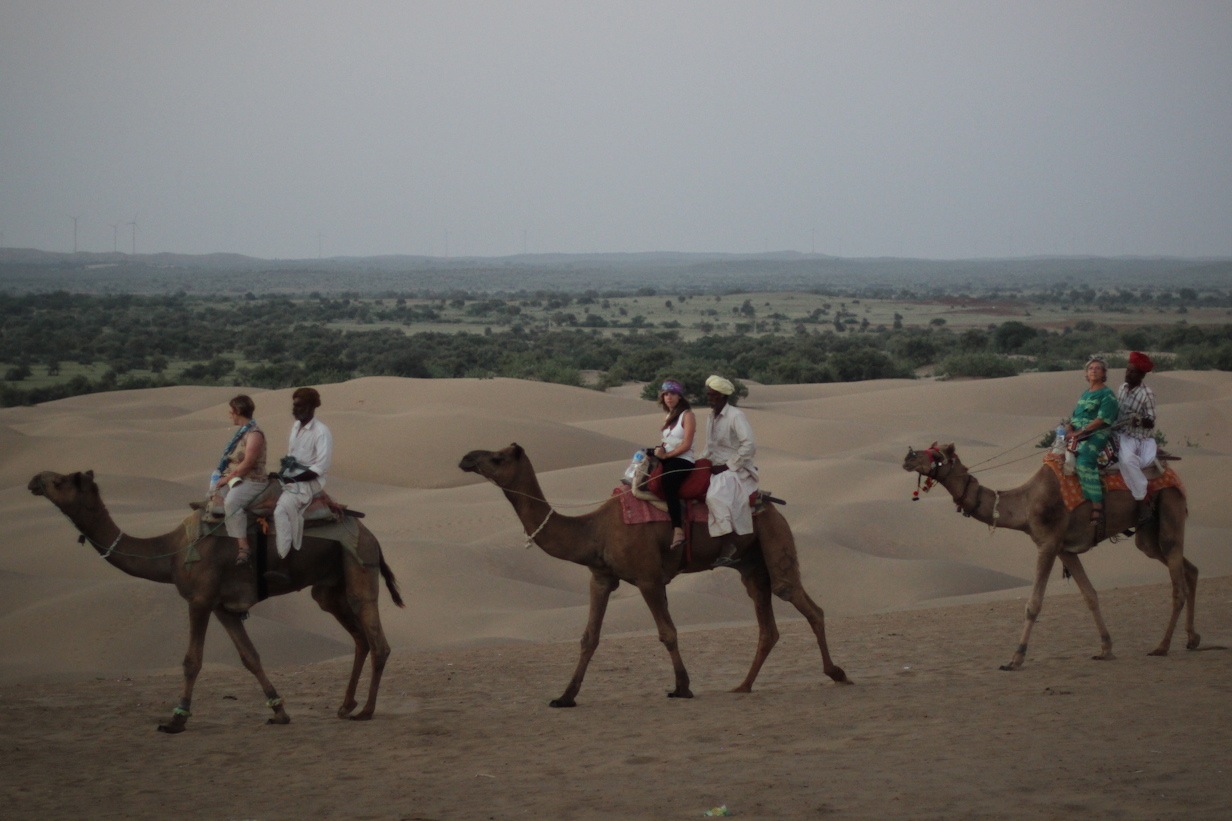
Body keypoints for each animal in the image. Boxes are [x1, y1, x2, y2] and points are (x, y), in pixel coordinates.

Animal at [27, 470, 404, 729]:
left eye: (60, 481)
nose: (34, 479)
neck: (170, 554)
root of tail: (372, 536)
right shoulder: (225, 607)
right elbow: (250, 656)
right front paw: (279, 711)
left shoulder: (200, 598)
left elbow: (192, 660)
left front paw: (177, 719)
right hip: (328, 588)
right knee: (359, 638)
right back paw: (345, 705)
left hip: (360, 565)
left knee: (378, 641)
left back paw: (366, 711)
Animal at [458, 441, 852, 705]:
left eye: (496, 457)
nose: (466, 458)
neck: (595, 530)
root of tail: (769, 502)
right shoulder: (601, 577)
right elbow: (589, 638)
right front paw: (564, 697)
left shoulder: (648, 578)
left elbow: (668, 633)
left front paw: (682, 687)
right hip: (750, 565)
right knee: (766, 622)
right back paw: (743, 686)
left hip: (774, 538)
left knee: (801, 600)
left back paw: (838, 673)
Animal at [901, 443, 1197, 670]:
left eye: (937, 455)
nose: (908, 457)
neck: (1024, 504)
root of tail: (1171, 471)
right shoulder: (1064, 548)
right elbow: (1090, 595)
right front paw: (1105, 648)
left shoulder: (1048, 543)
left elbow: (1033, 604)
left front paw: (1015, 658)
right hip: (1147, 533)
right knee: (1187, 568)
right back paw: (1193, 639)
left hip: (1170, 504)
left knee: (1177, 584)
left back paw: (1162, 646)